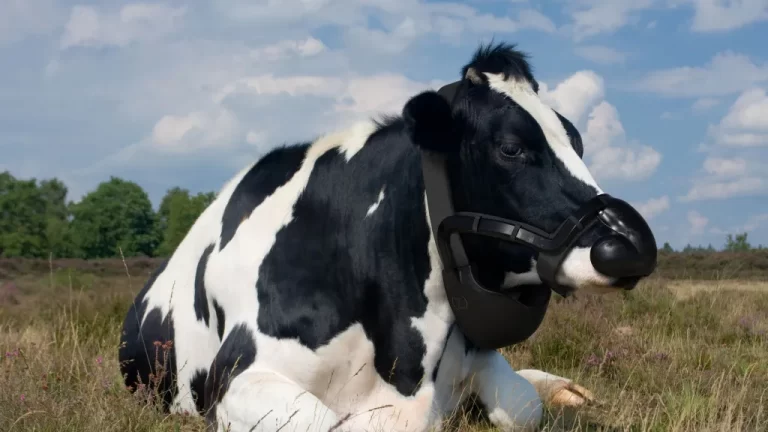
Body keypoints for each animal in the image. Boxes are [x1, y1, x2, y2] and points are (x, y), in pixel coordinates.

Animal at [118, 42, 657, 432]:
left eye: (577, 141)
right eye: (511, 147)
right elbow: (323, 421)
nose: (632, 246)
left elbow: (522, 405)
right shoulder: (236, 375)